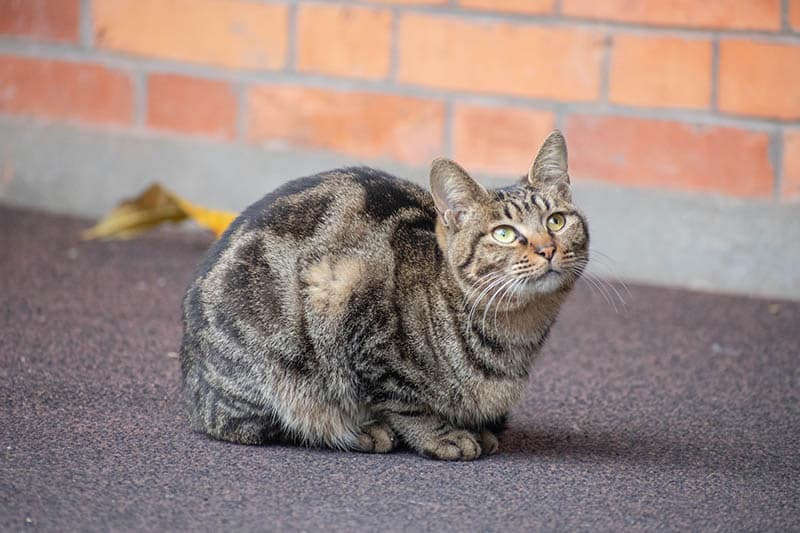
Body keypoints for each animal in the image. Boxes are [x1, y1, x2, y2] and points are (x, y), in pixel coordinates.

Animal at [180, 131, 588, 460]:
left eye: (556, 221)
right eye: (503, 233)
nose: (547, 249)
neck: (516, 333)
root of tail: (191, 382)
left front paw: (480, 428)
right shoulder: (360, 320)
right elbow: (404, 402)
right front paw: (442, 435)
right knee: (257, 423)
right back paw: (358, 432)